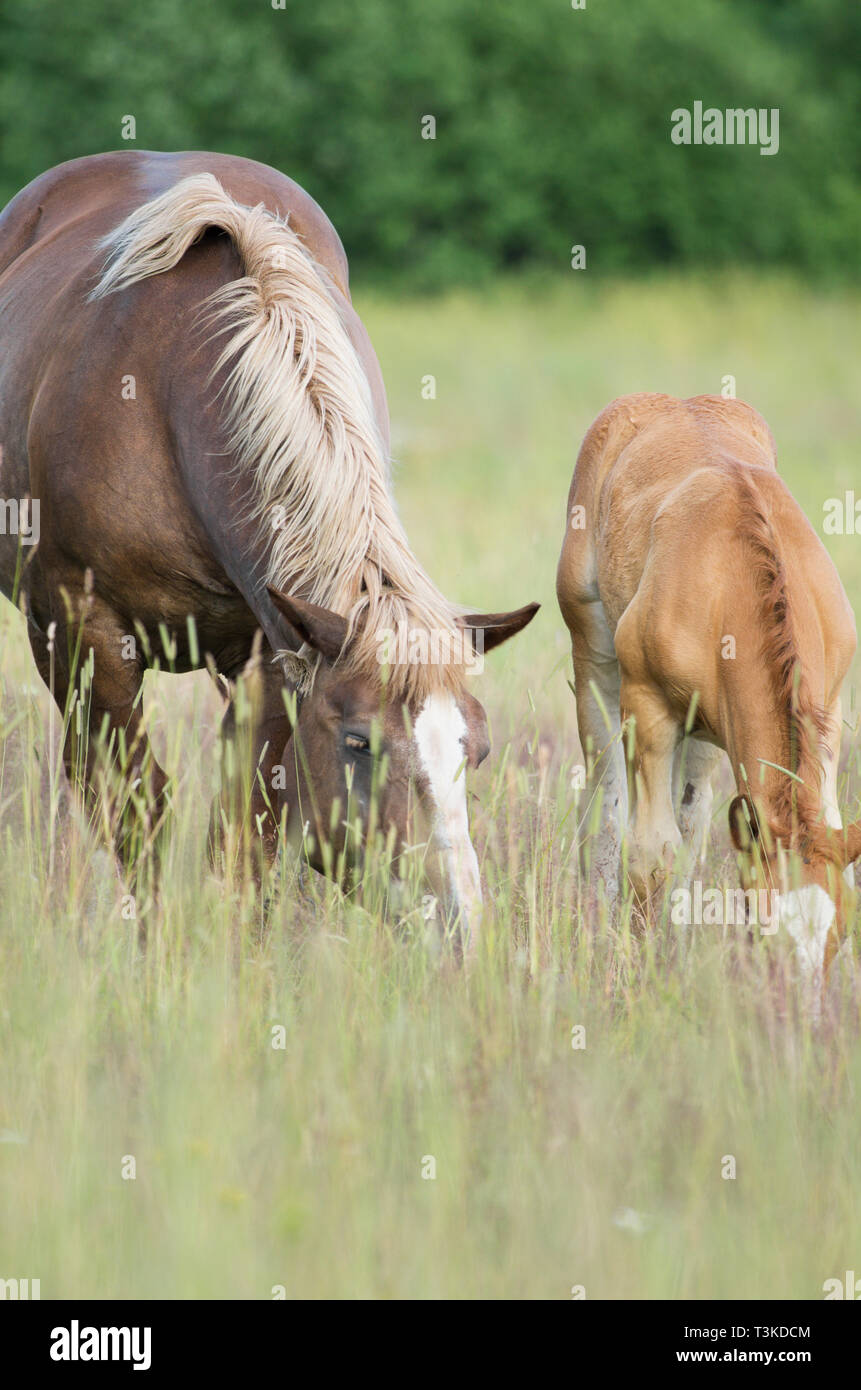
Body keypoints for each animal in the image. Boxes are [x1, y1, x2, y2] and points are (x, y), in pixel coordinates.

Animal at [0, 150, 538, 942]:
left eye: (479, 747)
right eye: (358, 743)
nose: (457, 924)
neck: (167, 399)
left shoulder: (272, 651)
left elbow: (244, 833)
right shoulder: (87, 637)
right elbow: (136, 810)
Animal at [556, 393, 860, 994]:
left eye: (838, 936)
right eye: (766, 933)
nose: (803, 1012)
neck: (734, 577)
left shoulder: (830, 711)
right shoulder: (648, 706)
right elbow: (650, 849)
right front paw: (640, 969)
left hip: (708, 727)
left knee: (692, 821)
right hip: (594, 658)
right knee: (607, 800)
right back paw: (599, 926)